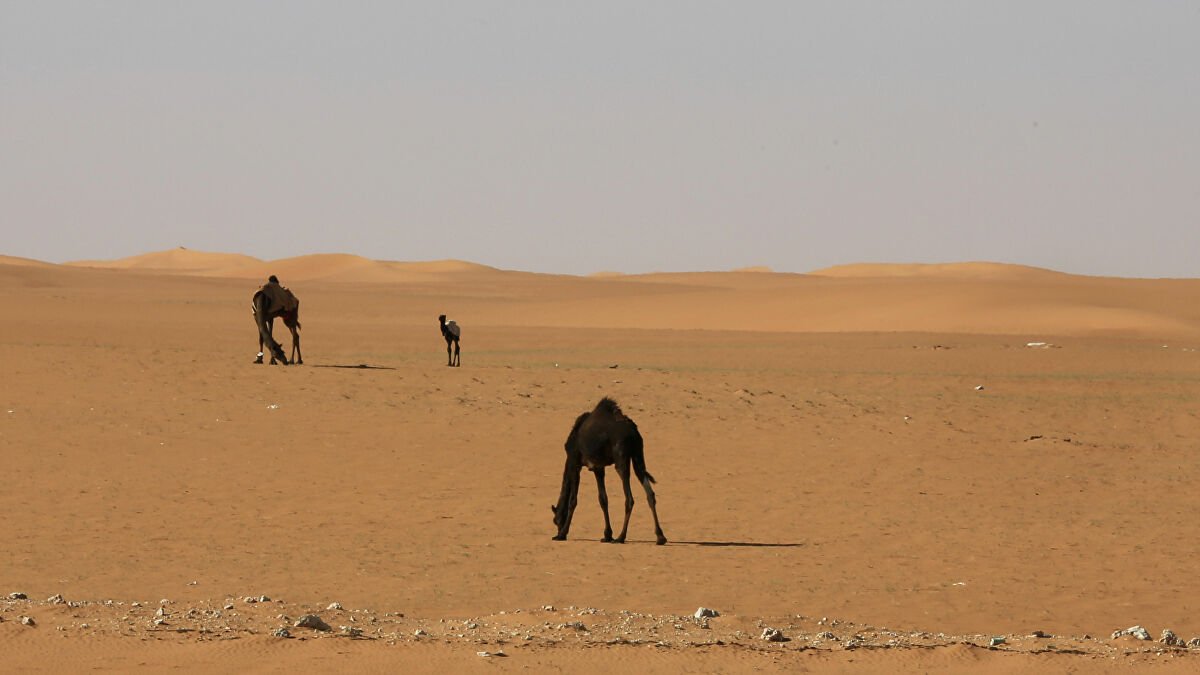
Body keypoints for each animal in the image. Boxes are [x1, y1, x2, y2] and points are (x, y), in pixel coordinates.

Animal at [549, 396, 667, 542]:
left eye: (556, 520)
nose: (558, 529)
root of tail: (633, 432)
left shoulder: (574, 462)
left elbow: (573, 500)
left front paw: (562, 534)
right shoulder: (598, 468)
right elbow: (603, 499)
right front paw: (607, 535)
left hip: (621, 457)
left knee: (629, 497)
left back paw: (621, 537)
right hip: (638, 454)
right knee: (649, 492)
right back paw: (660, 537)